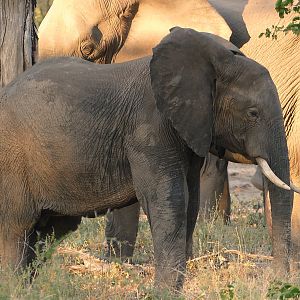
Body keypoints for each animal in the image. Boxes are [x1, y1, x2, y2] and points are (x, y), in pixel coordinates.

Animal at [0, 28, 292, 288]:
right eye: (253, 113)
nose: (276, 279)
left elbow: (190, 202)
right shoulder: (149, 128)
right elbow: (169, 199)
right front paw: (165, 291)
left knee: (48, 232)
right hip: (12, 162)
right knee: (16, 229)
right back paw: (15, 289)